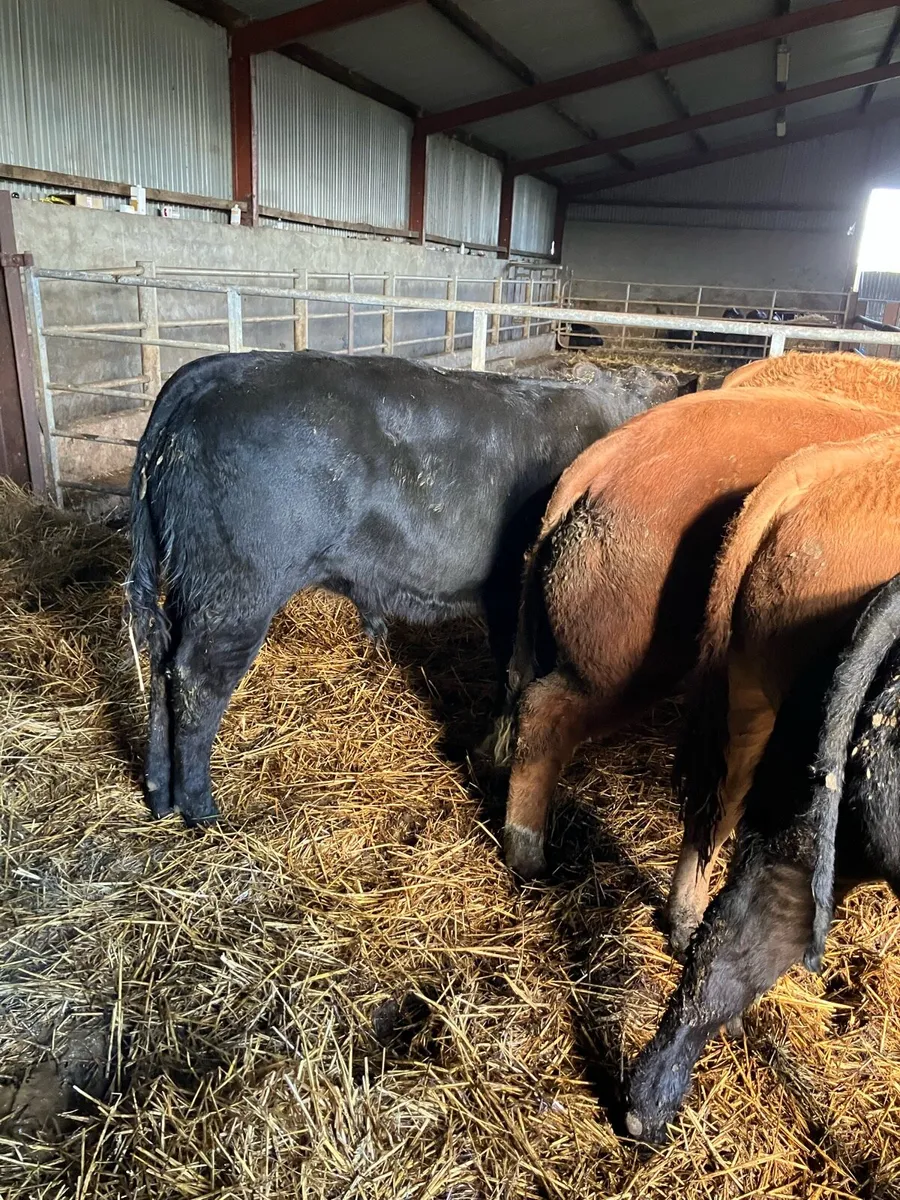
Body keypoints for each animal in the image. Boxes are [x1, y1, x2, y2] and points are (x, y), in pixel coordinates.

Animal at [127, 349, 677, 825]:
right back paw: (201, 810)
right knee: (196, 680)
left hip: (192, 590)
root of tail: (216, 370)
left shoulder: (504, 597)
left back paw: (159, 795)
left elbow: (507, 673)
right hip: (238, 591)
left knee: (162, 666)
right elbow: (520, 679)